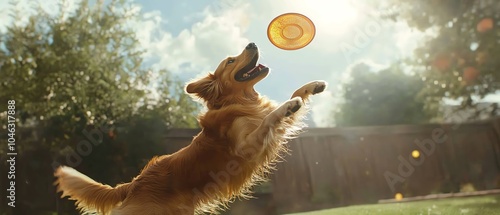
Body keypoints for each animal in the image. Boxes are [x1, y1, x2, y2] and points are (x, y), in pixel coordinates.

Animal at [54, 41, 326, 213]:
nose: (251, 44)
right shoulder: (246, 146)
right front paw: (288, 105)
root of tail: (133, 183)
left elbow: (293, 95)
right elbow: (271, 116)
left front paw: (313, 86)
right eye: (230, 61)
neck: (240, 102)